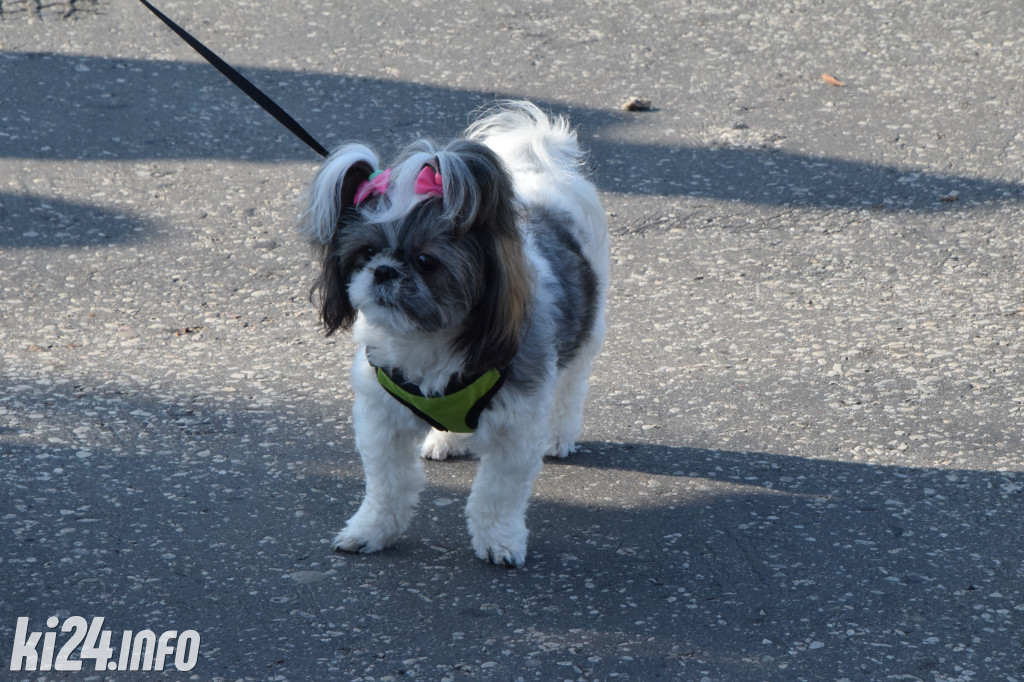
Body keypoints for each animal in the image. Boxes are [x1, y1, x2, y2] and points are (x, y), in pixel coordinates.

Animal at [299, 100, 610, 565]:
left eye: (426, 261)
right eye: (366, 252)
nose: (383, 271)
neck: (430, 340)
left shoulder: (516, 428)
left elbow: (497, 495)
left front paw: (498, 540)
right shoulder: (382, 420)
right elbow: (388, 487)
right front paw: (372, 530)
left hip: (585, 328)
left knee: (571, 385)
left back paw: (559, 434)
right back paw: (446, 439)